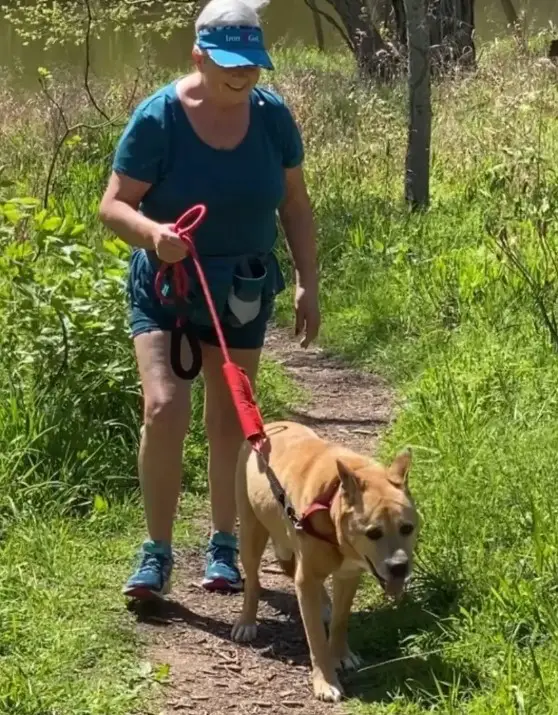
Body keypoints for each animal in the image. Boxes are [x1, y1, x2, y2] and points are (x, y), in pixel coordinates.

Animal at [232, 422, 420, 704]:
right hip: (251, 533)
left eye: (407, 528)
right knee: (253, 581)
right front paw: (326, 682)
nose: (399, 567)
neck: (331, 503)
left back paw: (323, 605)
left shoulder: (348, 575)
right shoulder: (307, 578)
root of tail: (268, 427)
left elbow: (340, 621)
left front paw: (341, 655)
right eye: (373, 533)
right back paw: (246, 622)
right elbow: (317, 639)